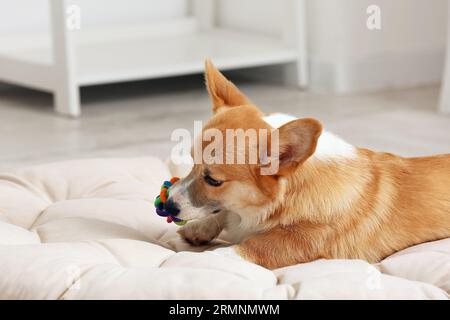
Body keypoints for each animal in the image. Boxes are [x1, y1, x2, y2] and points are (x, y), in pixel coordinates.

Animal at [167, 60, 450, 270]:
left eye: (213, 180)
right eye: (192, 163)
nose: (167, 204)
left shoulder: (302, 242)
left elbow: (246, 247)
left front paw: (194, 259)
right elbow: (222, 212)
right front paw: (198, 228)